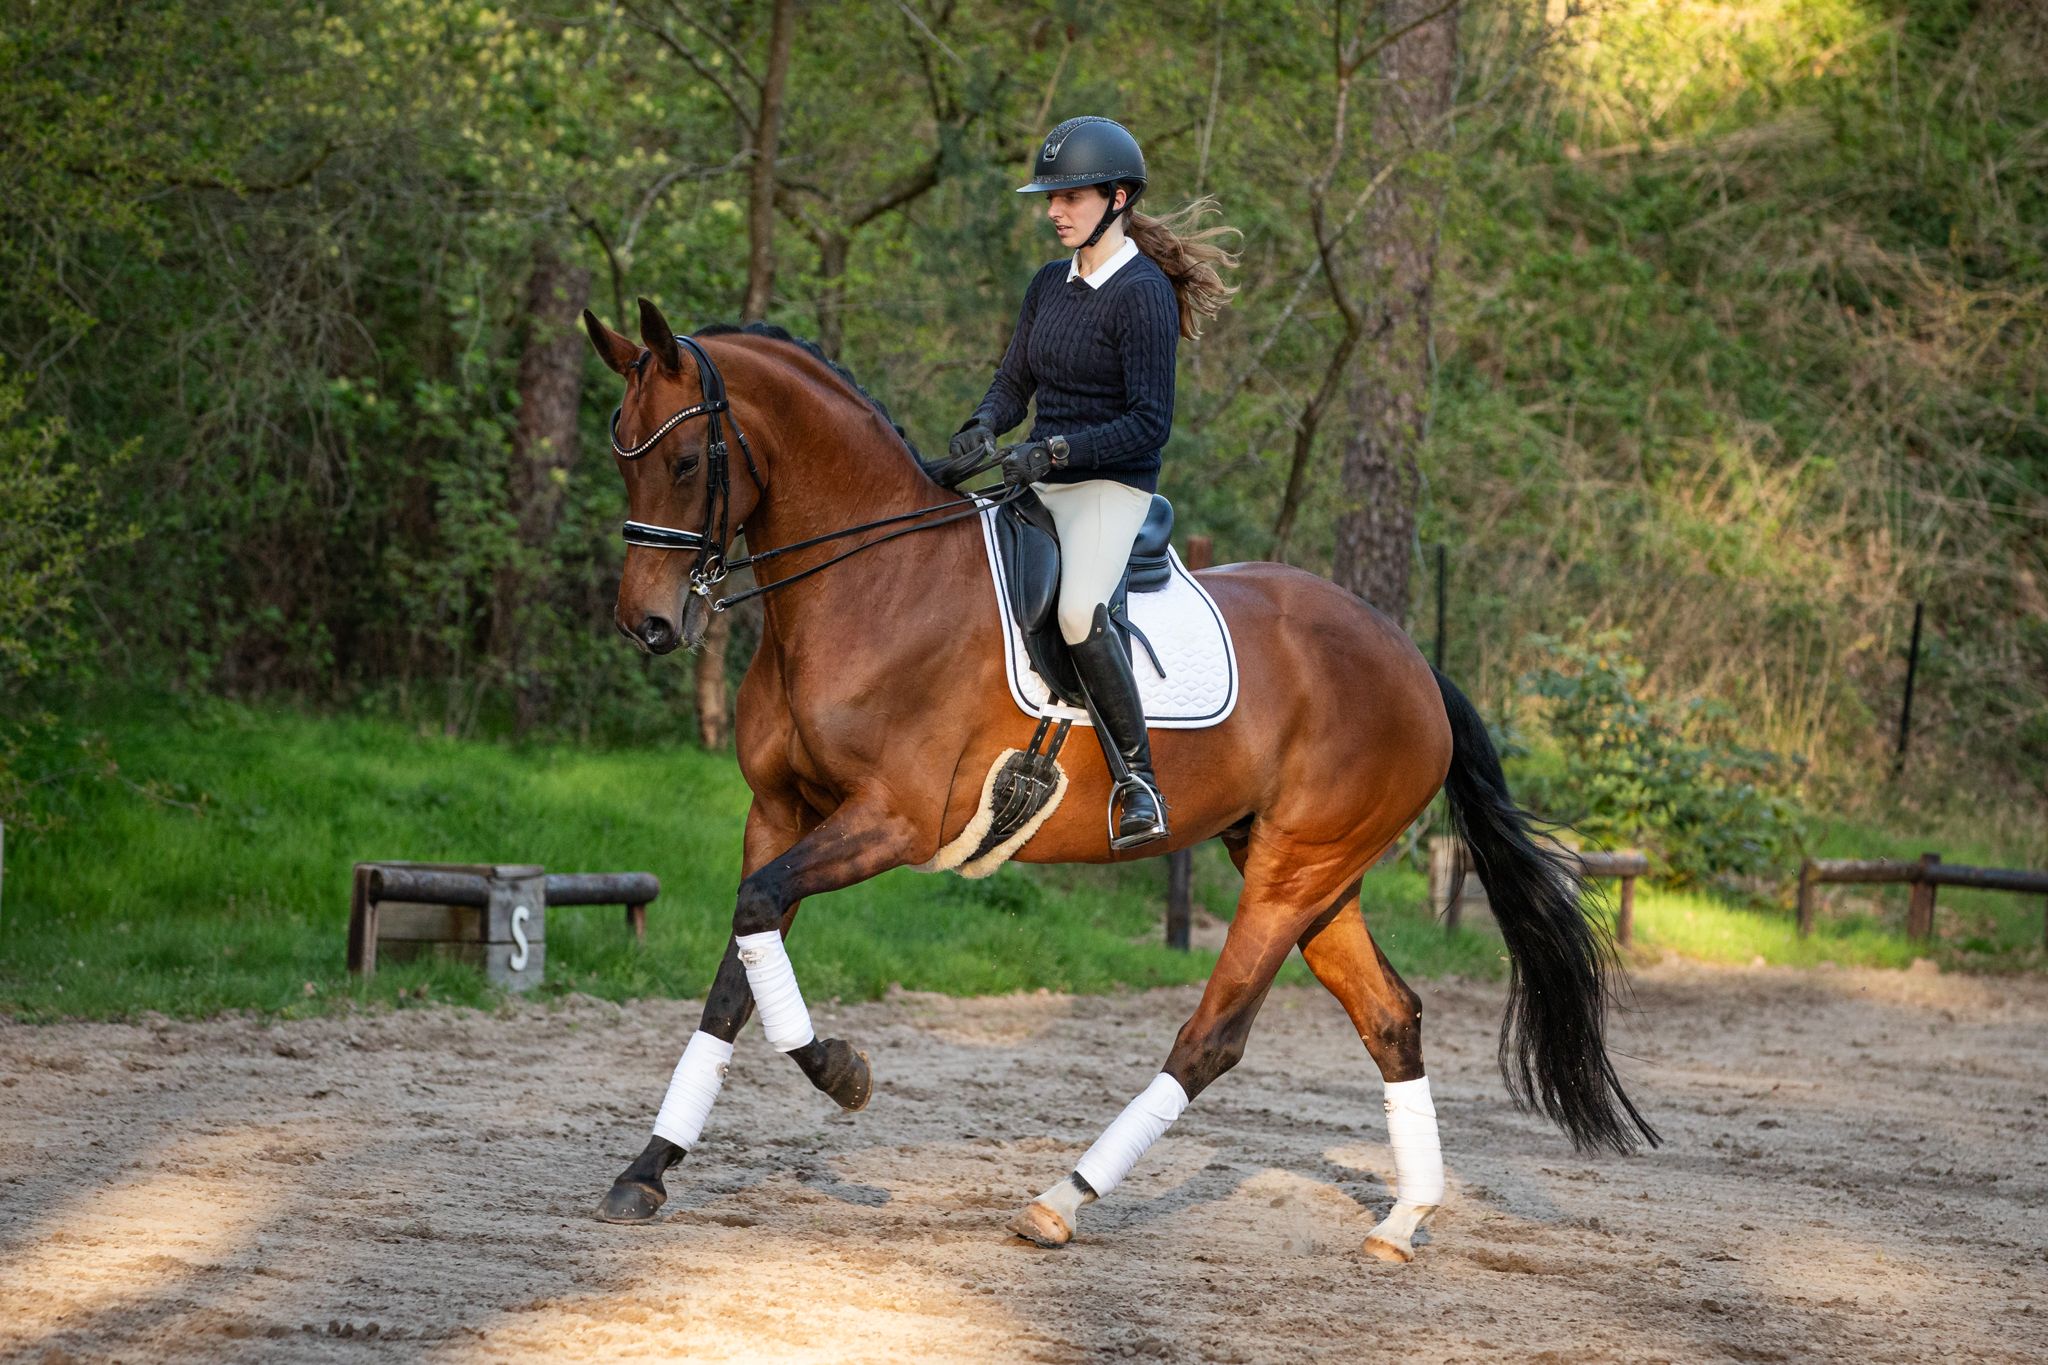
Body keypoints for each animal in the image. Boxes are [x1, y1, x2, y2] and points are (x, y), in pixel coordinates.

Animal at [581, 298, 1656, 1261]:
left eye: (686, 461)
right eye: (623, 455)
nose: (648, 624)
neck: (866, 584)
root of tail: (1411, 659)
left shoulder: (891, 821)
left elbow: (759, 924)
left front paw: (842, 1071)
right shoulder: (779, 813)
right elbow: (736, 966)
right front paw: (648, 1169)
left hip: (1291, 874)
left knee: (1213, 1036)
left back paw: (1062, 1199)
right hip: (1315, 873)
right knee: (1391, 1016)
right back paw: (1403, 1220)